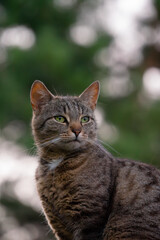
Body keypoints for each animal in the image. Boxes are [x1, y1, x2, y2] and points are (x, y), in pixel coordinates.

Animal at [30, 81, 160, 240]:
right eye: (60, 118)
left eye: (85, 119)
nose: (77, 130)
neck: (56, 164)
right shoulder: (59, 227)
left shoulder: (89, 219)